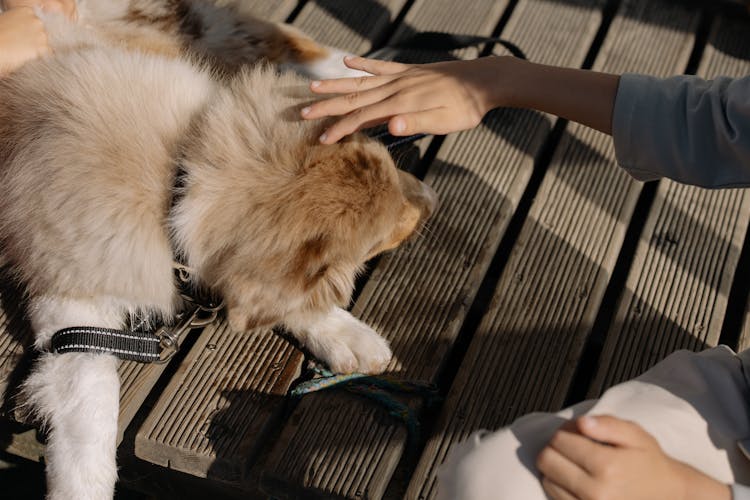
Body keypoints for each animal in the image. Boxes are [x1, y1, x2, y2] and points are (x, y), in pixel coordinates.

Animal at [0, 1, 438, 498]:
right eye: (382, 233)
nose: (432, 199)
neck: (175, 183)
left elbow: (288, 298)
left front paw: (348, 336)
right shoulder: (73, 311)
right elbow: (93, 411)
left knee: (290, 43)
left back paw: (381, 78)